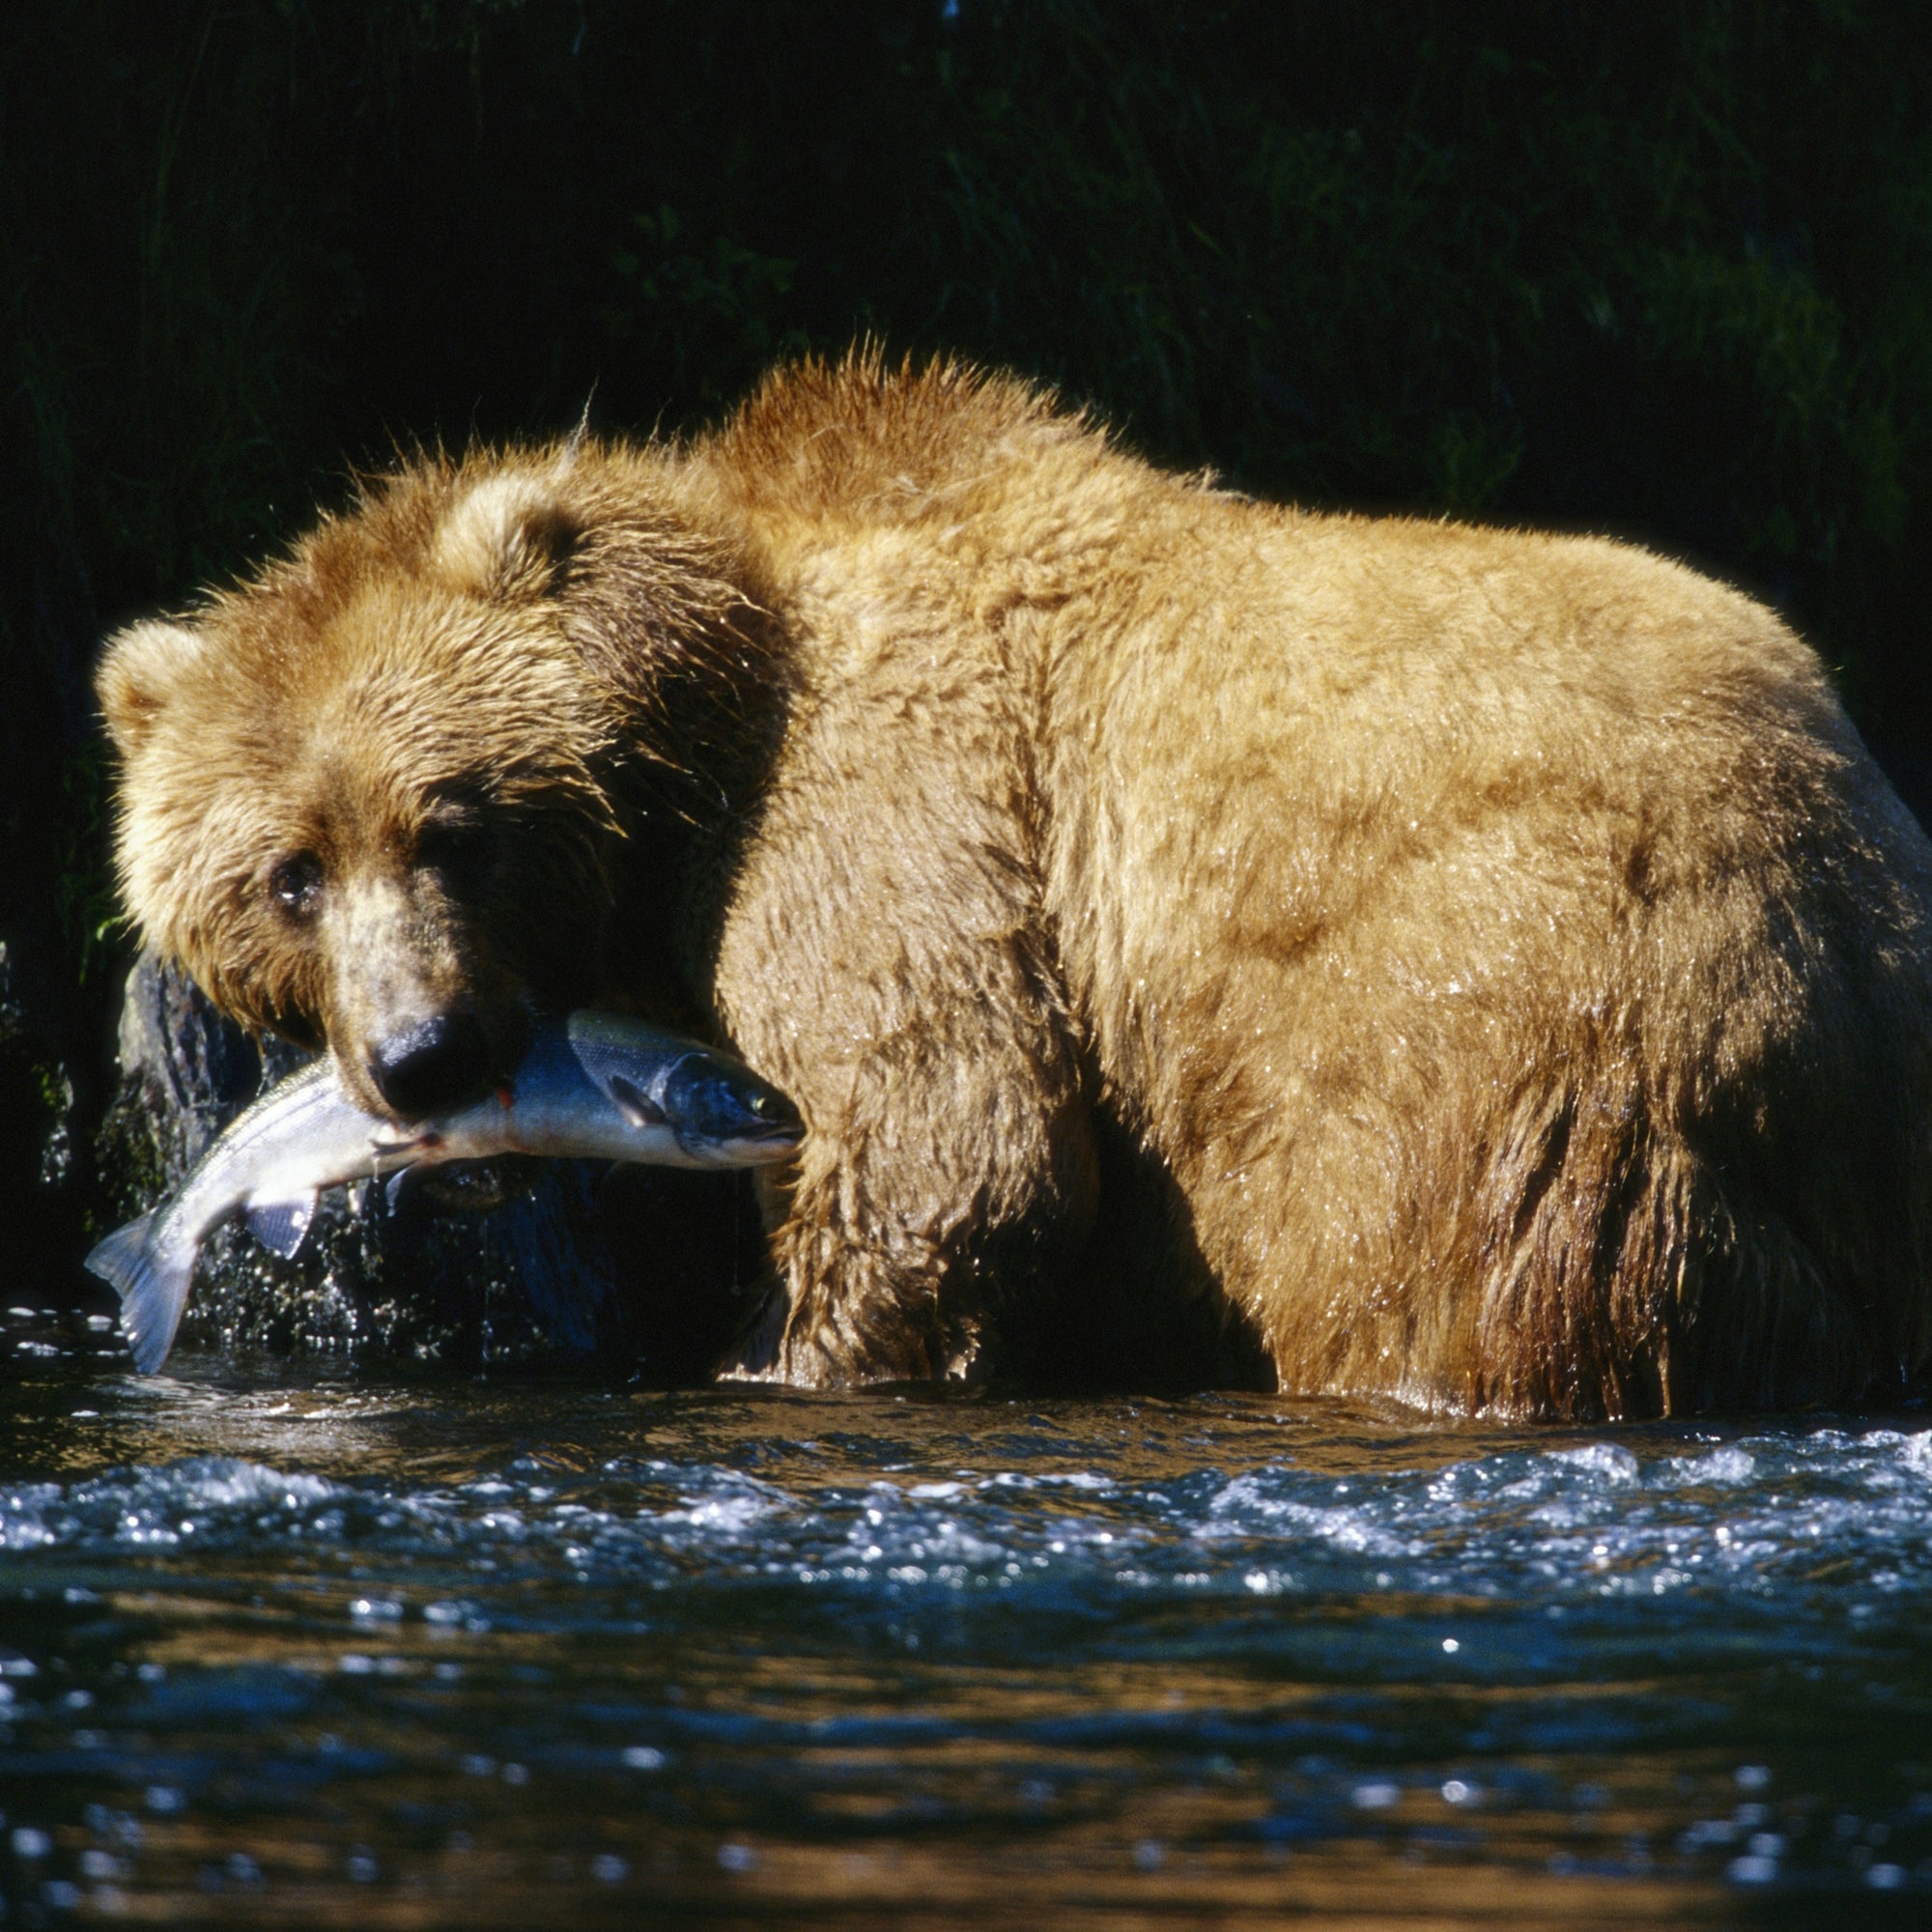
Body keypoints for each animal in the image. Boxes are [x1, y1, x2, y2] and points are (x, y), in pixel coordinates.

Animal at [98, 355, 1932, 1422]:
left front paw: (774, 1358)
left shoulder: (868, 795)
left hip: (1486, 1038)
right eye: (289, 874)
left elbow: (945, 1134)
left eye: (454, 823)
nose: (422, 1058)